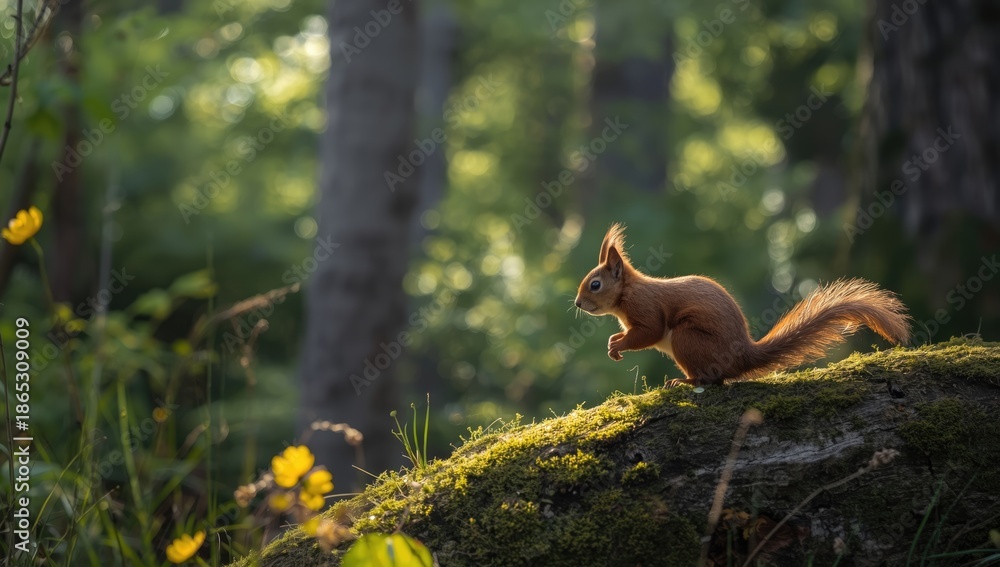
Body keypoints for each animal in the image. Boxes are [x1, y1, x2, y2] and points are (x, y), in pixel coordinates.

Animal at [573, 224, 911, 386]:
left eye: (595, 284)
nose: (577, 303)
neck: (626, 293)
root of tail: (744, 356)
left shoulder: (645, 308)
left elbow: (649, 333)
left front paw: (618, 344)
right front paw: (614, 342)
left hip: (687, 339)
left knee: (712, 380)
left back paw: (684, 381)